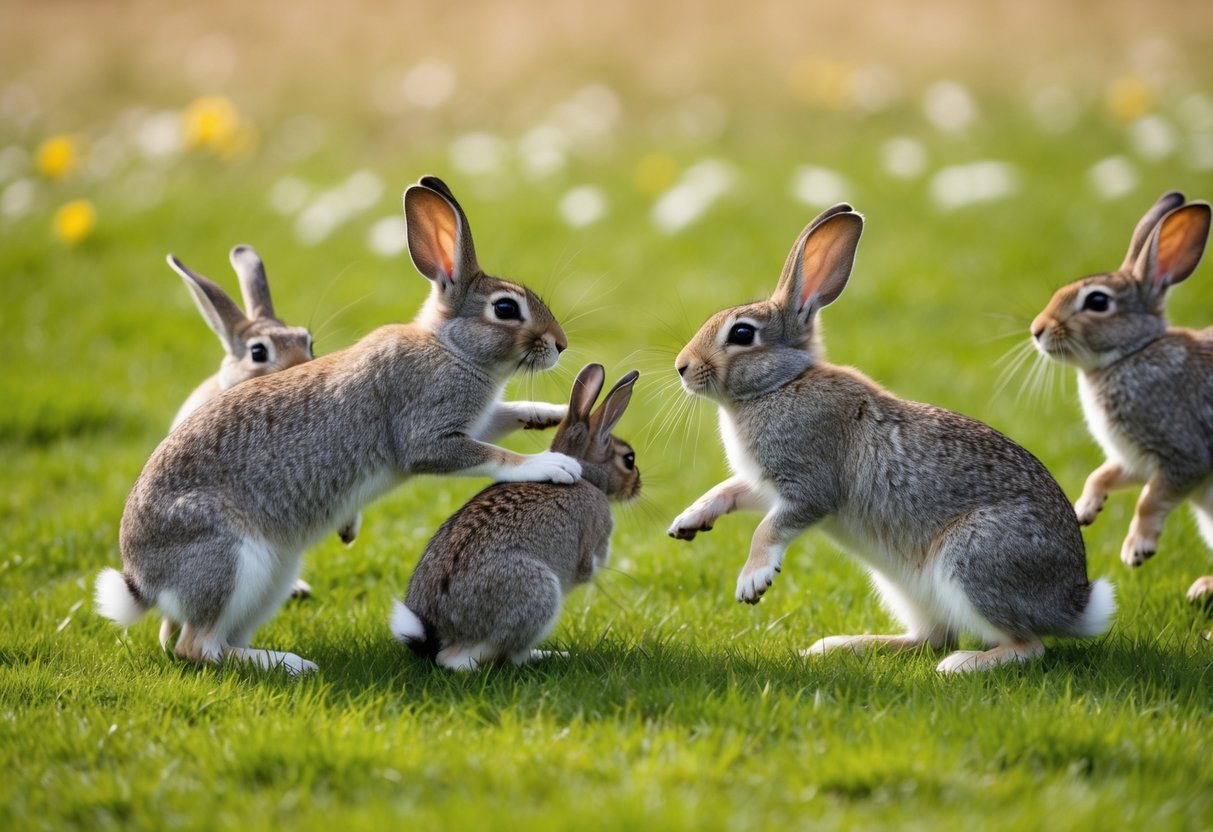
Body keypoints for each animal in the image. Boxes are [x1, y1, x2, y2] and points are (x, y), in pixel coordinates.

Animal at [392, 363, 640, 671]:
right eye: (628, 460)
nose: (638, 487)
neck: (586, 475)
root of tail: (444, 628)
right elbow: (588, 566)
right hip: (539, 594)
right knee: (477, 659)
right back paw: (548, 656)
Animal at [666, 203, 1115, 673]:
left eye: (741, 334)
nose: (682, 366)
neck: (781, 383)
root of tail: (1075, 604)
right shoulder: (764, 484)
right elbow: (729, 491)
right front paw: (688, 522)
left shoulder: (808, 484)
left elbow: (770, 528)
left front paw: (752, 579)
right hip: (904, 587)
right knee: (929, 637)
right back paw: (841, 645)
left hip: (975, 557)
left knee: (1027, 644)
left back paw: (961, 664)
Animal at [1031, 191, 1213, 604]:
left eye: (1098, 302)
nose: (1037, 329)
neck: (1131, 353)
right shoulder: (1134, 457)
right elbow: (1103, 474)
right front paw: (1085, 511)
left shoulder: (1183, 453)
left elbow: (1150, 498)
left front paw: (1136, 550)